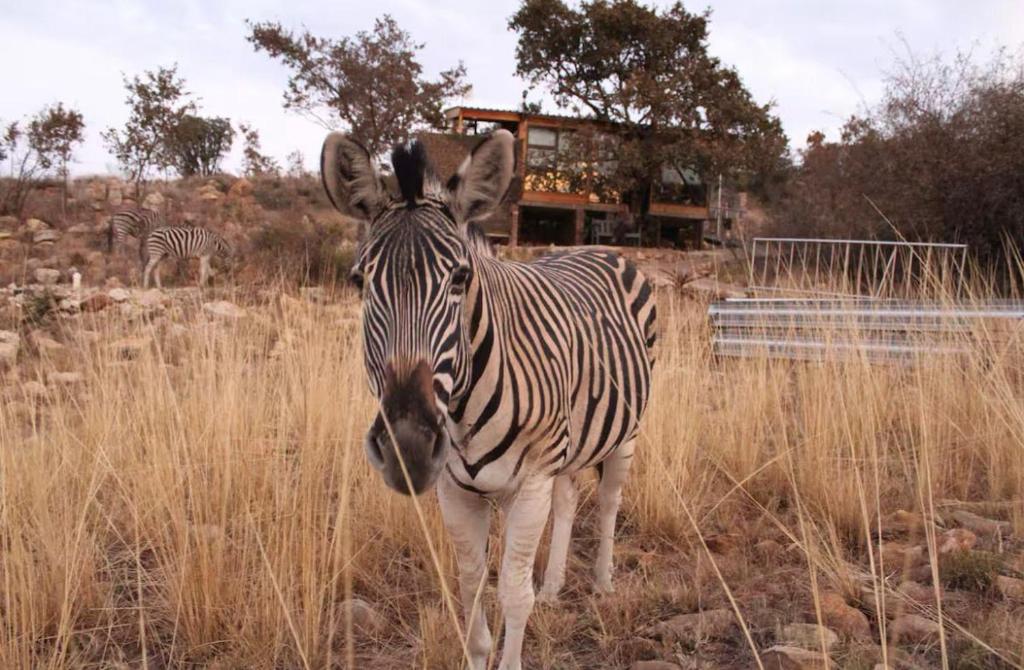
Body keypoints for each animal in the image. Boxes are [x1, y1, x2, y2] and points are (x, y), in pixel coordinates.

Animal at [321, 129, 655, 670]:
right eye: (359, 282)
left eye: (459, 280)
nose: (407, 448)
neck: (462, 409)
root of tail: (595, 245)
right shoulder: (453, 490)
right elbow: (471, 589)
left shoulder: (532, 481)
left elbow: (513, 594)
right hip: (573, 442)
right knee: (570, 499)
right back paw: (555, 586)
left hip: (626, 430)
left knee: (608, 500)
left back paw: (603, 582)